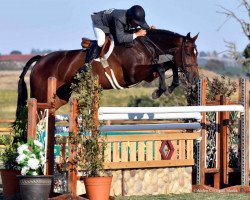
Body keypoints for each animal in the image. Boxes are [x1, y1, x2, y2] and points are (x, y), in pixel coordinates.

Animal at [15, 28, 199, 116]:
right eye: (189, 53)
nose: (195, 78)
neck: (143, 46)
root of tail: (40, 60)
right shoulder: (133, 74)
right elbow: (161, 67)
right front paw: (159, 91)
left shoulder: (148, 74)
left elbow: (169, 65)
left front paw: (171, 86)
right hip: (41, 98)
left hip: (59, 97)